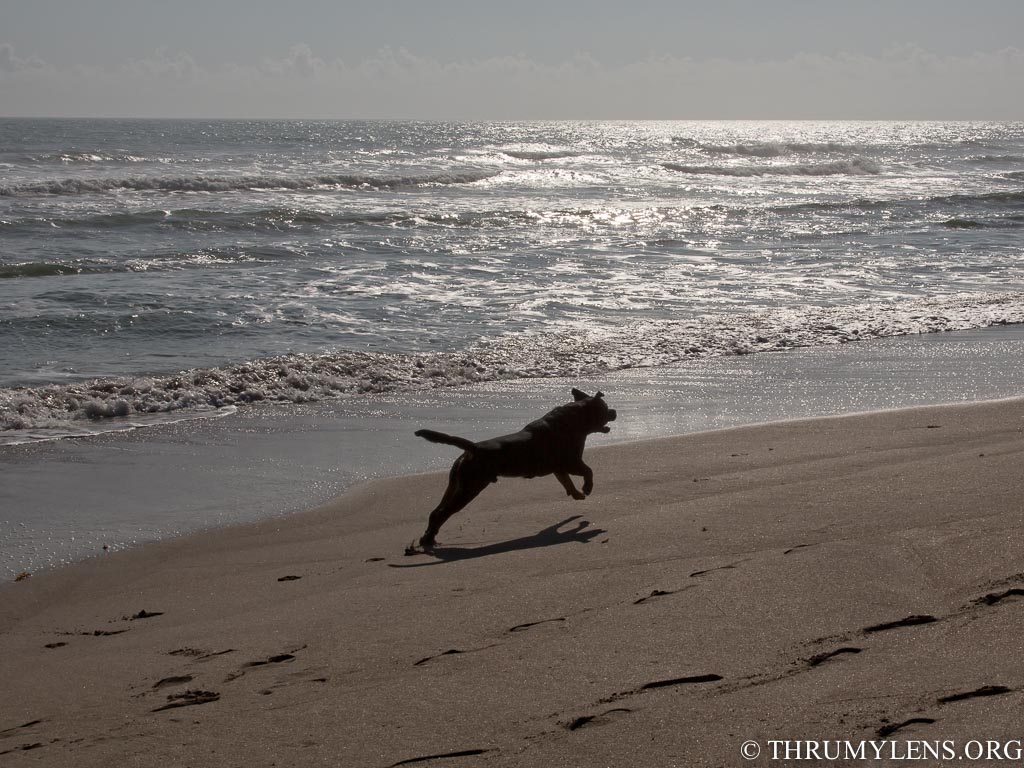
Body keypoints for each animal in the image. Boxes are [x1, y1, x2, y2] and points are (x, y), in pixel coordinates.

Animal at [405, 387, 614, 557]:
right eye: (604, 408)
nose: (614, 411)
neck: (576, 419)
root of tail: (473, 448)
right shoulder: (571, 462)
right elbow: (588, 471)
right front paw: (586, 488)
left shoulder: (560, 468)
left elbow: (567, 482)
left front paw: (577, 494)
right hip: (469, 488)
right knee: (443, 513)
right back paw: (430, 540)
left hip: (455, 484)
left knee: (436, 511)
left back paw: (427, 538)